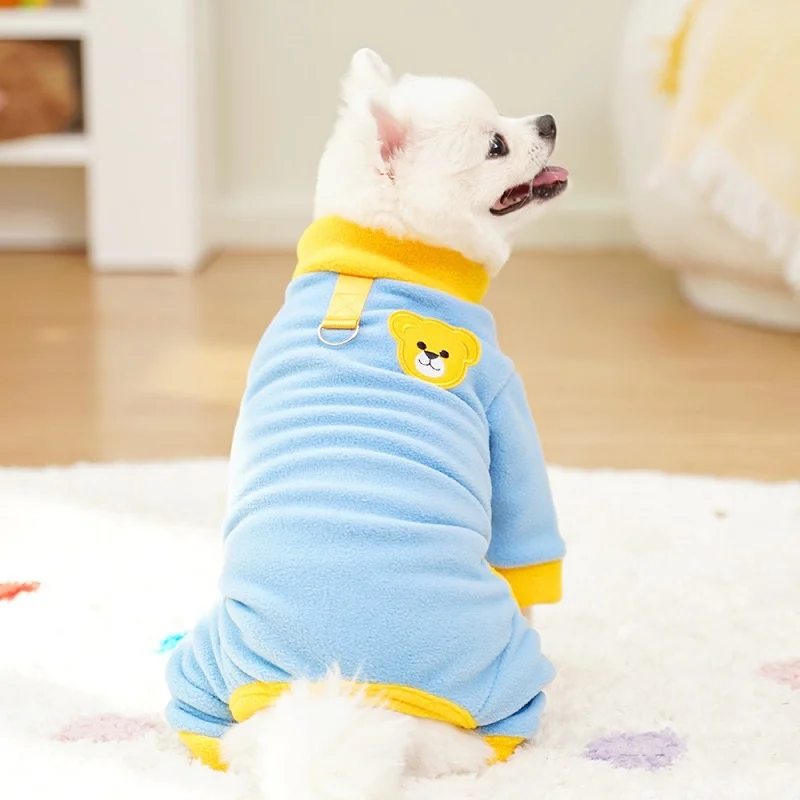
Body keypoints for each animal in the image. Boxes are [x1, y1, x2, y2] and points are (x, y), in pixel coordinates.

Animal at [166, 49, 568, 800]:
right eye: (496, 145)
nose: (550, 120)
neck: (379, 256)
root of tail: (345, 698)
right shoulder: (506, 405)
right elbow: (526, 543)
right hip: (503, 675)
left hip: (203, 678)